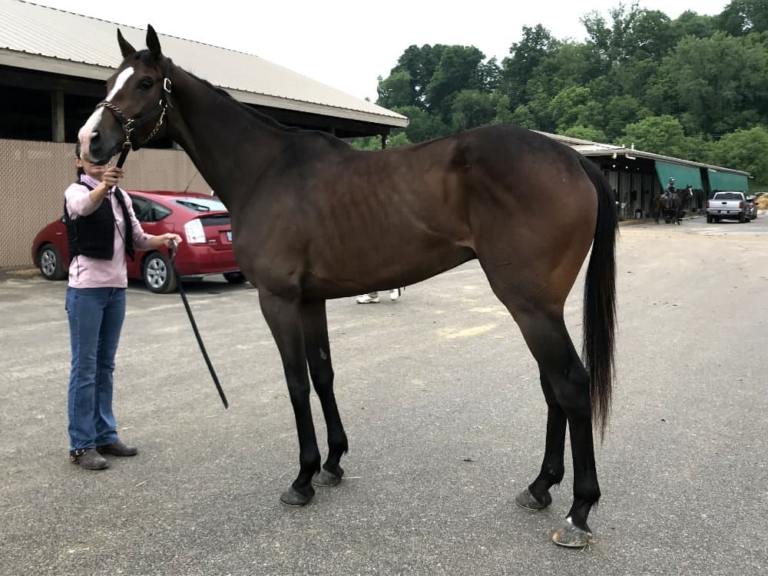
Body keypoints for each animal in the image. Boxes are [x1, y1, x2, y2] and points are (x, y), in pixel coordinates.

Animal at [76, 26, 618, 549]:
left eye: (146, 83)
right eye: (109, 83)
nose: (89, 141)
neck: (265, 170)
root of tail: (573, 159)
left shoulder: (278, 301)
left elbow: (296, 383)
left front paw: (302, 478)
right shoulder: (311, 300)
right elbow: (323, 375)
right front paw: (333, 462)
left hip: (530, 305)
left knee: (570, 384)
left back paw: (579, 511)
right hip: (539, 307)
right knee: (553, 387)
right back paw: (540, 486)